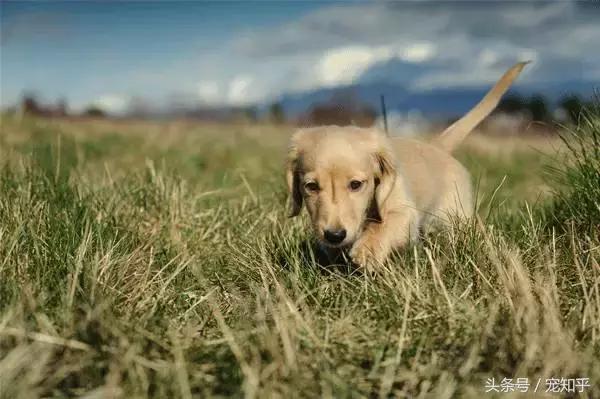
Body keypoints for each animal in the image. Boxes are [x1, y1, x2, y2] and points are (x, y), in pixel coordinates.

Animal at [288, 62, 528, 268]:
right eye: (311, 186)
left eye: (356, 185)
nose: (335, 235)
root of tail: (437, 147)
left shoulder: (404, 211)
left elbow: (384, 225)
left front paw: (367, 250)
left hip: (455, 214)